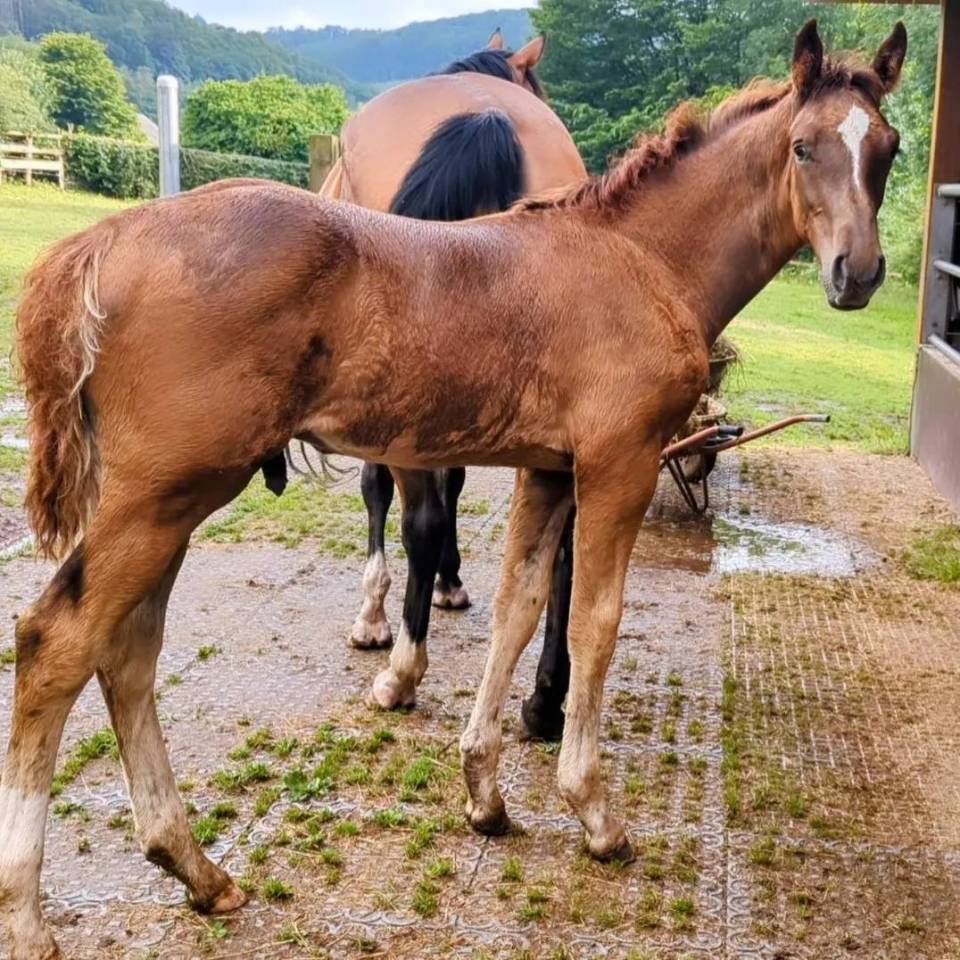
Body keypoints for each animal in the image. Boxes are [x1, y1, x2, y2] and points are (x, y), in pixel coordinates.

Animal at [321, 31, 585, 731]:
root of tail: (487, 117)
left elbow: (381, 490)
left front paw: (378, 613)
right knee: (564, 545)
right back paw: (545, 699)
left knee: (422, 518)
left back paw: (403, 672)